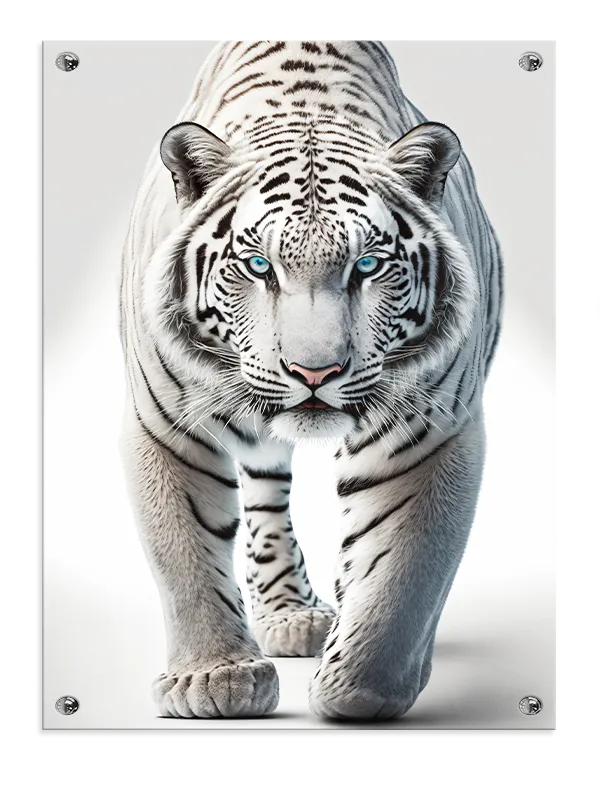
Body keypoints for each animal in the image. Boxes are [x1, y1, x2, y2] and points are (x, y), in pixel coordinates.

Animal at [120, 40, 503, 720]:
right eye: (258, 265)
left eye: (368, 266)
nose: (315, 372)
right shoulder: (164, 426)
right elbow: (183, 553)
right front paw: (212, 678)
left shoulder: (433, 432)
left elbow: (404, 571)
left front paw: (360, 689)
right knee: (266, 494)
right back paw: (290, 615)